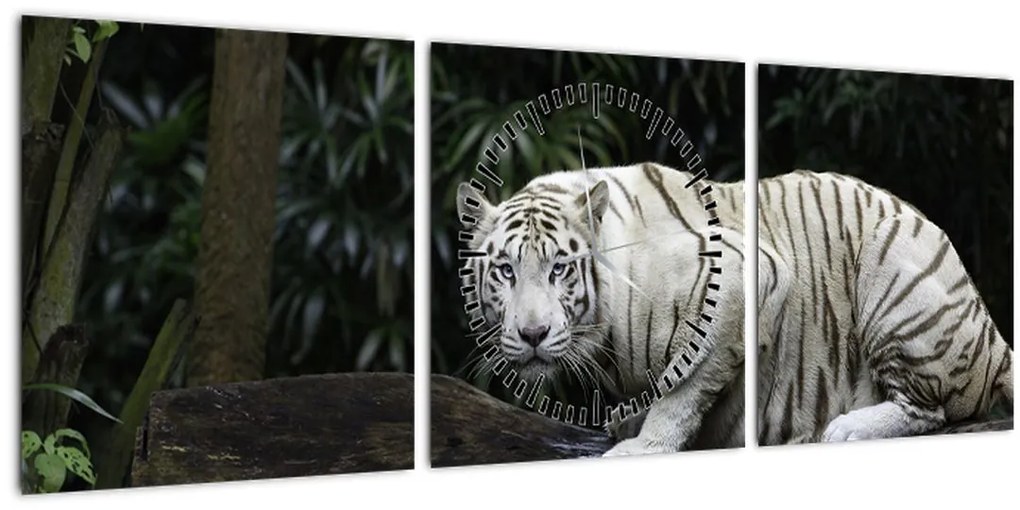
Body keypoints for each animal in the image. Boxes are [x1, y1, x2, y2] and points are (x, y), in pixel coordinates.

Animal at [456, 162, 747, 456]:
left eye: (558, 269)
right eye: (506, 271)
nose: (533, 334)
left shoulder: (731, 280)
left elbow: (683, 388)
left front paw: (643, 446)